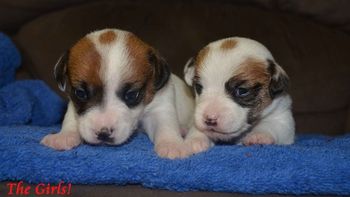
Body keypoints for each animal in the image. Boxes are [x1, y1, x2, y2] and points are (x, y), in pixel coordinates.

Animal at [41, 28, 194, 159]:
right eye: (80, 93)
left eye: (132, 95)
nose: (103, 133)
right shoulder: (73, 105)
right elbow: (71, 119)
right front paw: (64, 136)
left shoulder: (160, 107)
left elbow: (166, 125)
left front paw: (172, 144)